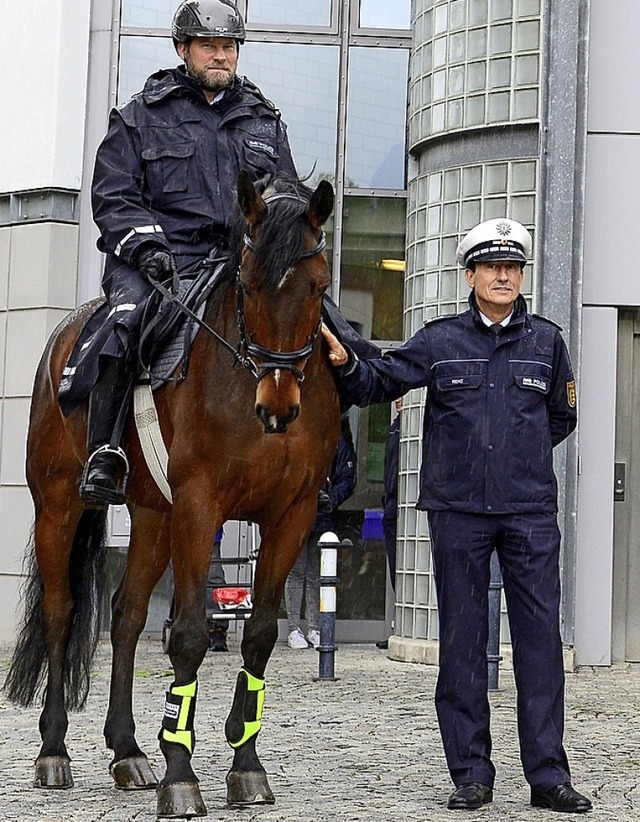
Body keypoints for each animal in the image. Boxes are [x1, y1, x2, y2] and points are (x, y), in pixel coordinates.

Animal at [3, 172, 340, 816]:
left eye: (318, 286)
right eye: (249, 284)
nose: (277, 406)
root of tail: (66, 333)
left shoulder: (291, 515)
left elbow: (259, 634)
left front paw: (246, 767)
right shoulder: (199, 507)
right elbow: (186, 635)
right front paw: (180, 776)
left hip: (153, 517)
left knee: (126, 616)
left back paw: (127, 751)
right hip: (59, 504)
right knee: (62, 613)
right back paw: (54, 752)